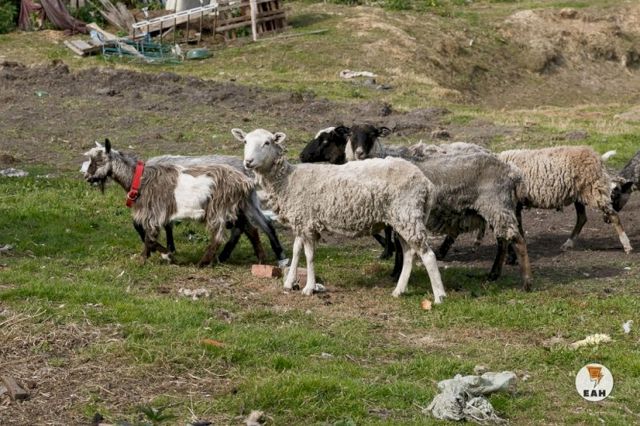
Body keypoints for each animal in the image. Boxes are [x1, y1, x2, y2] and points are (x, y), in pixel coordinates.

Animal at [84, 139, 256, 265]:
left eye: (98, 161)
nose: (87, 177)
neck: (139, 178)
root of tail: (244, 179)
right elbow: (155, 233)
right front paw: (167, 252)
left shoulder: (153, 213)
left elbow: (148, 235)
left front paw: (153, 257)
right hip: (233, 208)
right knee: (247, 228)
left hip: (218, 209)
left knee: (224, 234)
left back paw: (208, 260)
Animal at [233, 128, 447, 302]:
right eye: (245, 142)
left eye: (267, 143)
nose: (248, 162)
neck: (287, 180)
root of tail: (425, 182)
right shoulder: (302, 219)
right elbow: (296, 251)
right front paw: (289, 282)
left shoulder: (307, 221)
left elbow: (309, 255)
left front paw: (309, 288)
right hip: (404, 217)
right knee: (410, 253)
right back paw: (399, 291)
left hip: (408, 213)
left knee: (427, 255)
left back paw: (439, 296)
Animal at [498, 146, 633, 253]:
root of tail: (598, 157)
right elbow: (517, 226)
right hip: (580, 195)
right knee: (582, 218)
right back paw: (568, 244)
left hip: (594, 190)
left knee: (613, 216)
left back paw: (627, 245)